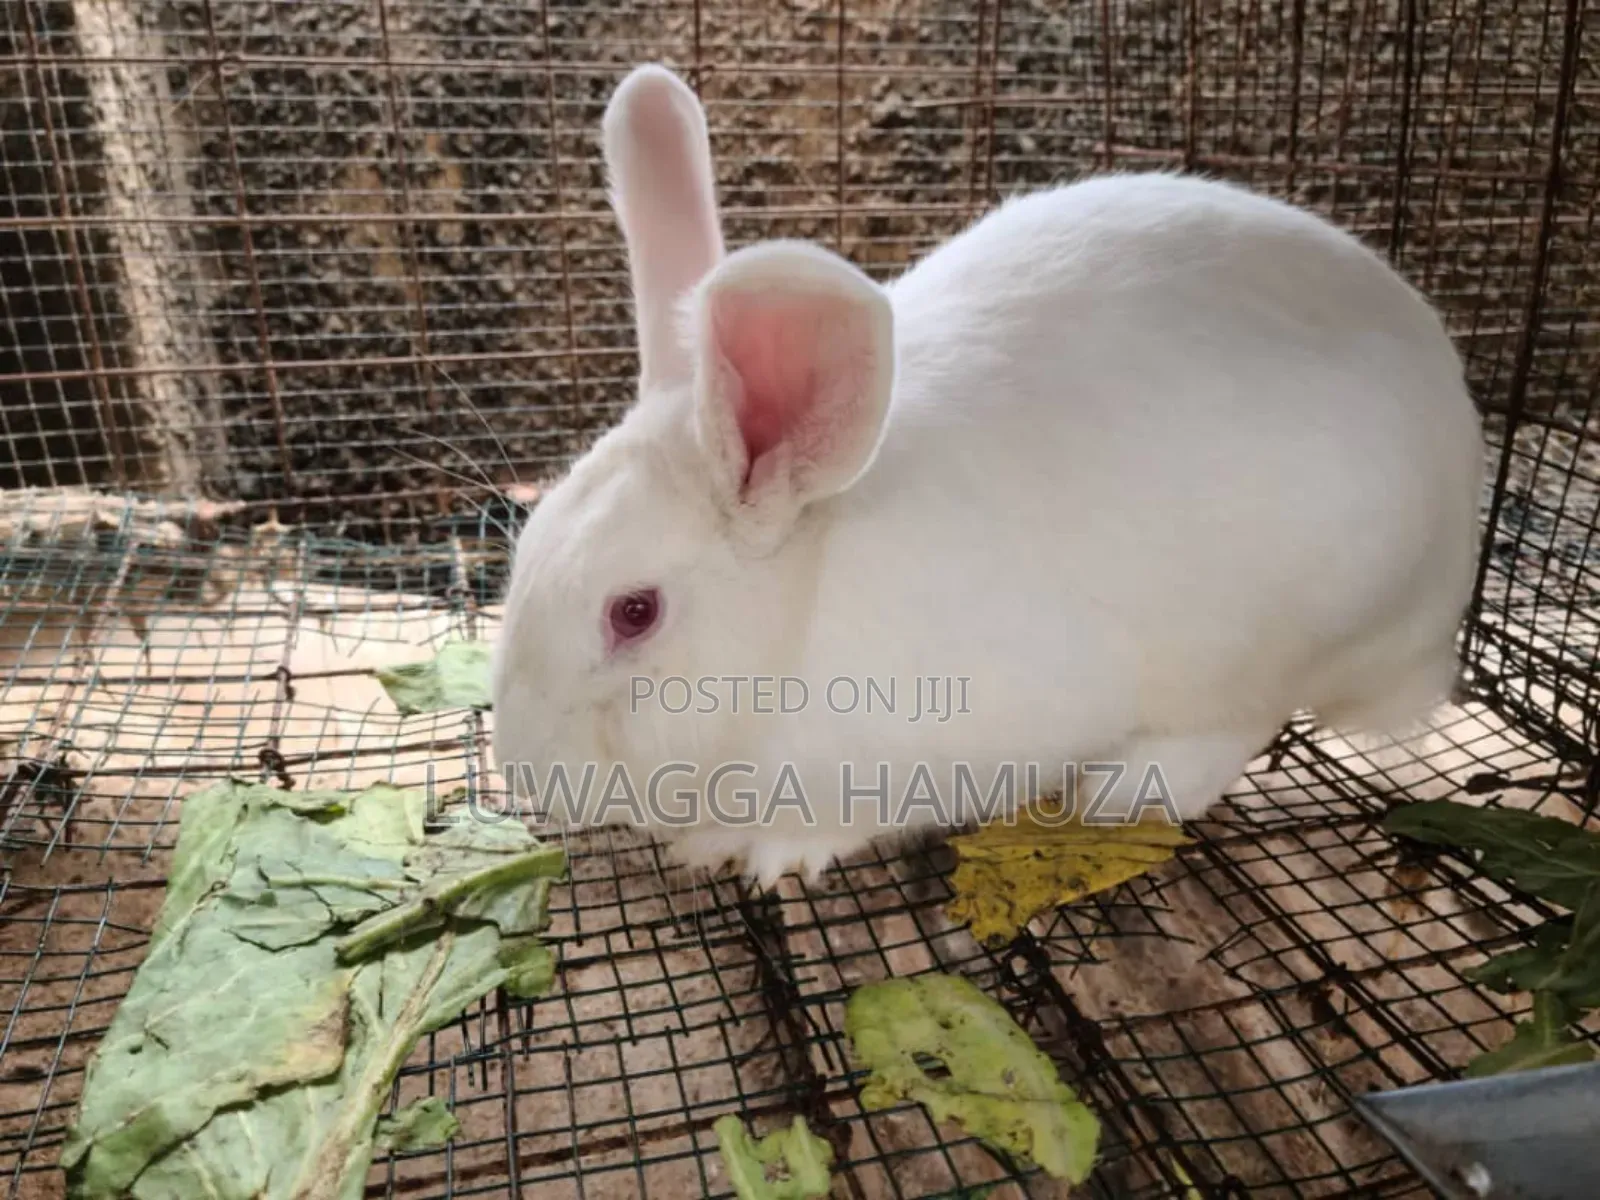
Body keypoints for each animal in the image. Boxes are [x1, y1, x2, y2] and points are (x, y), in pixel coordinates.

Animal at [490, 63, 1485, 887]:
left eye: (634, 611)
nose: (523, 765)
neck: (801, 612)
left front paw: (772, 854)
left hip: (1286, 621)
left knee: (1247, 717)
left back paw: (1128, 787)